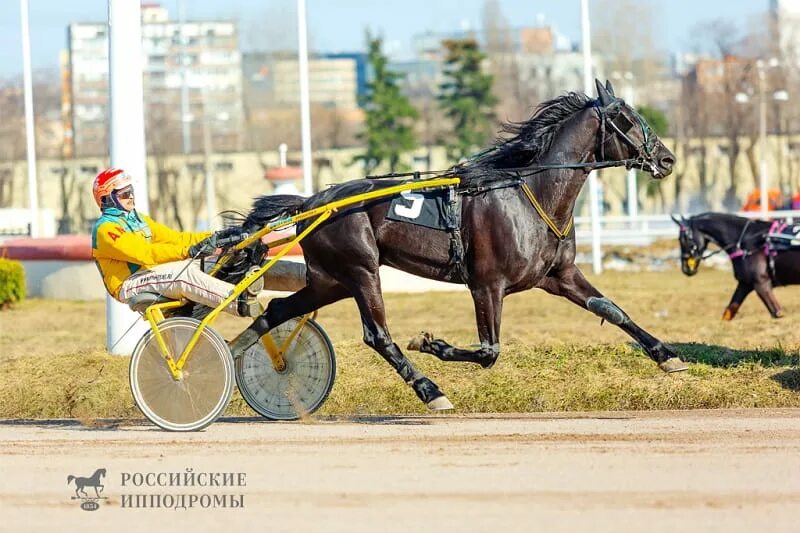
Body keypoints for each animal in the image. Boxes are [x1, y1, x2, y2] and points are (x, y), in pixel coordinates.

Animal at [222, 81, 684, 410]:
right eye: (625, 118)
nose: (667, 160)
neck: (529, 192)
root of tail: (311, 202)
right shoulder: (487, 284)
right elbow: (489, 351)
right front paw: (430, 343)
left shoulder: (558, 275)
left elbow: (612, 309)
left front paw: (666, 354)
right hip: (360, 269)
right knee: (378, 335)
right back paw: (430, 390)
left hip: (330, 280)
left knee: (277, 310)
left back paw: (231, 357)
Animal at [672, 212, 800, 320]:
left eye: (682, 239)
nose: (685, 268)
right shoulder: (745, 284)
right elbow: (728, 313)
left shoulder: (761, 284)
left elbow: (777, 313)